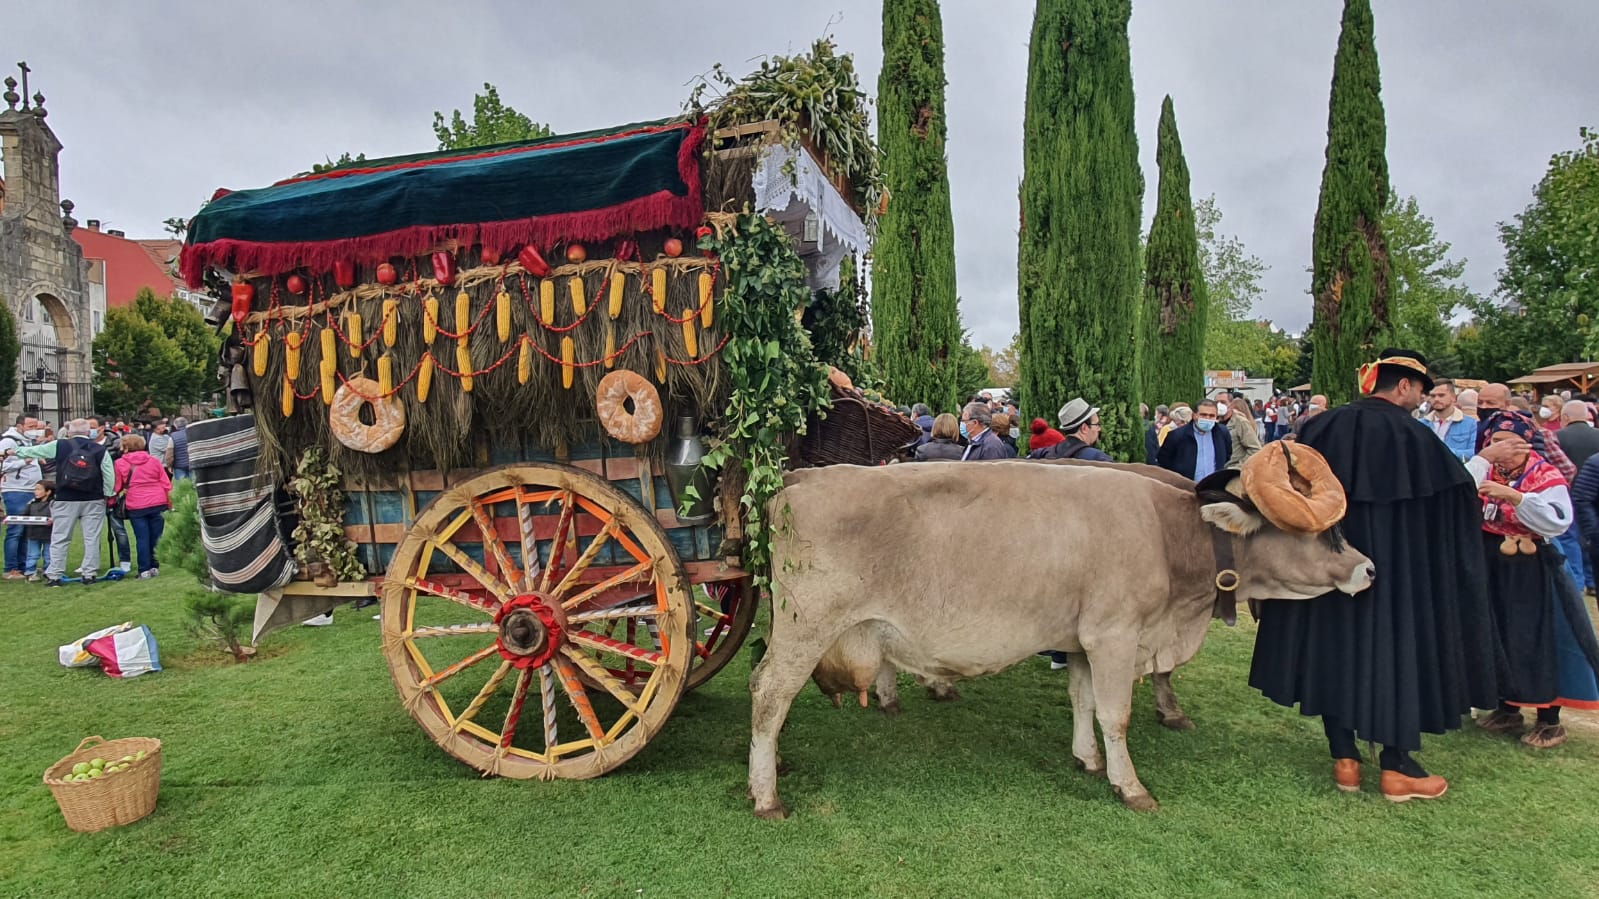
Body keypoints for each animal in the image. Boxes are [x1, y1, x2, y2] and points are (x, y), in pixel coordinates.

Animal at [751, 457, 1375, 815]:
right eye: (1325, 532)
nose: (1369, 569)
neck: (1166, 535)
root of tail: (800, 477)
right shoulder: (1115, 636)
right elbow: (1117, 714)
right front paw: (1130, 787)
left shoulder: (1081, 642)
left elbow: (1083, 701)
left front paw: (1088, 760)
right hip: (806, 629)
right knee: (768, 696)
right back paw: (765, 794)